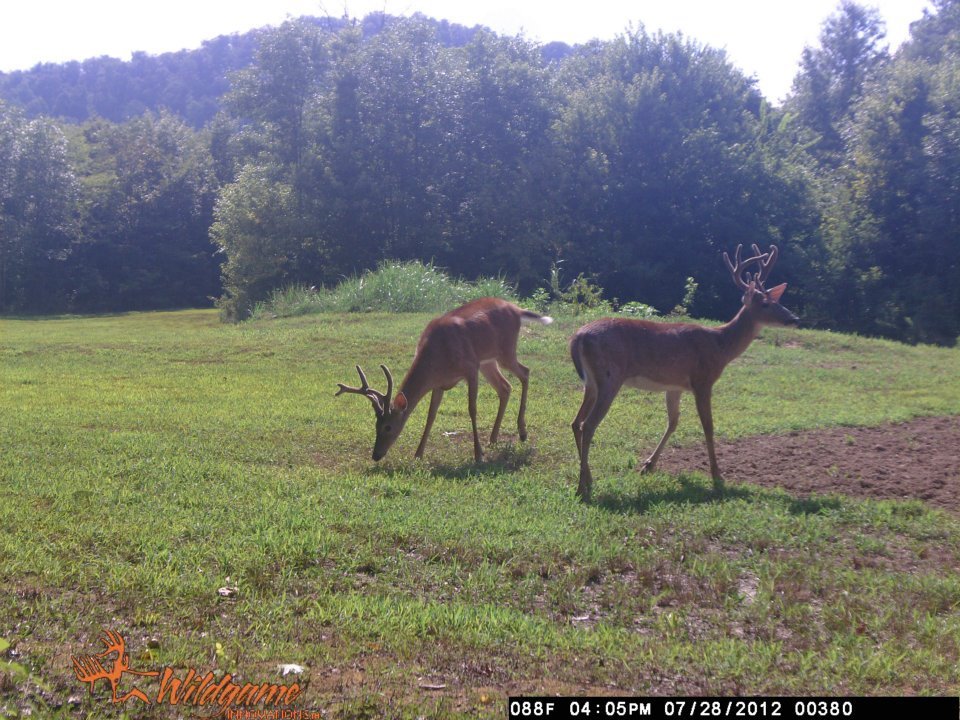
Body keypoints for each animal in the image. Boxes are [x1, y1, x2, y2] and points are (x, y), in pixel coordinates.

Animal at [336, 297, 553, 463]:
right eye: (375, 425)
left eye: (387, 427)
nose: (376, 455)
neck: (438, 355)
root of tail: (516, 309)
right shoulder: (438, 383)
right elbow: (431, 415)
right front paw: (418, 454)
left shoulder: (470, 368)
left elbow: (472, 409)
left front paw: (478, 454)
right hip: (489, 361)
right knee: (505, 387)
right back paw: (493, 439)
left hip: (504, 352)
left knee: (525, 372)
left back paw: (522, 432)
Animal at [570, 244, 799, 502]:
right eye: (765, 304)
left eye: (778, 300)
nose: (794, 318)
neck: (721, 346)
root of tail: (578, 337)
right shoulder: (703, 380)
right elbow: (708, 426)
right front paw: (718, 476)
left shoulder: (674, 386)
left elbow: (673, 422)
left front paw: (648, 466)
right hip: (610, 378)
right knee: (588, 424)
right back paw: (582, 488)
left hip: (591, 383)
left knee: (576, 422)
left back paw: (588, 479)